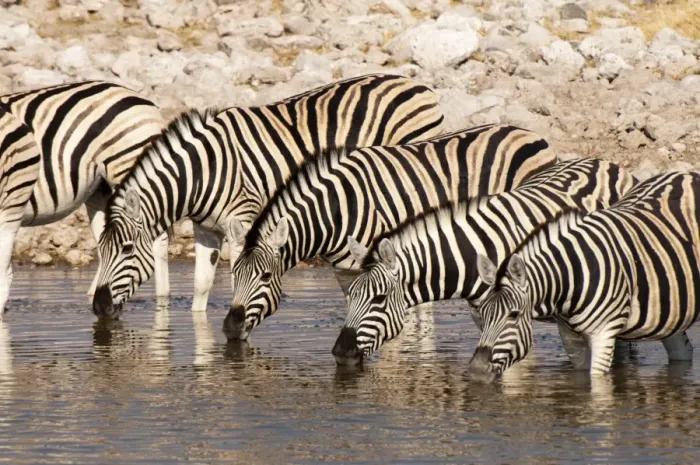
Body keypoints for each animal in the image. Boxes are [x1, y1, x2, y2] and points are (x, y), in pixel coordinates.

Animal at [0, 81, 168, 317]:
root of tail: (136, 96)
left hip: (130, 168)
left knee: (157, 240)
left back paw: (162, 300)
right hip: (100, 189)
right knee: (106, 238)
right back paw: (94, 294)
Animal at [92, 74, 446, 318]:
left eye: (126, 249)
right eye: (101, 251)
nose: (98, 307)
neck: (203, 171)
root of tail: (418, 85)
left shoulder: (243, 220)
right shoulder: (206, 228)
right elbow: (201, 284)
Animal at [224, 124, 557, 341]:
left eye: (266, 276)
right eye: (234, 274)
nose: (229, 329)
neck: (337, 208)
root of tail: (531, 133)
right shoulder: (346, 271)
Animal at [334, 158, 637, 365]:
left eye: (379, 299)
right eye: (351, 294)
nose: (339, 353)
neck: (475, 253)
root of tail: (609, 164)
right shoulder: (484, 318)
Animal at [469, 170, 700, 381]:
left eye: (514, 315)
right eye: (482, 313)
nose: (477, 371)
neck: (570, 278)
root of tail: (687, 173)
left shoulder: (604, 333)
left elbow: (596, 380)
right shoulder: (570, 336)